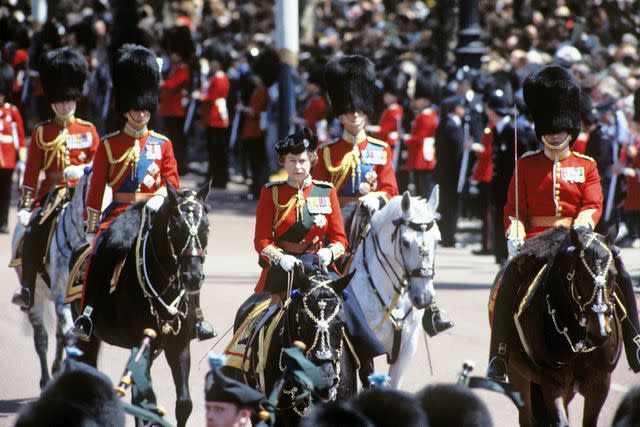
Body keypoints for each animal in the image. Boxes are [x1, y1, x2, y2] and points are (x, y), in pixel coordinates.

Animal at [74, 182, 210, 426]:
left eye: (206, 227)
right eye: (175, 229)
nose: (193, 277)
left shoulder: (179, 345)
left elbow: (184, 403)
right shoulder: (141, 344)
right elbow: (142, 404)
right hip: (87, 335)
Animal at [490, 227, 620, 427]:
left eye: (613, 275)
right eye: (581, 276)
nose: (599, 333)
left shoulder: (600, 383)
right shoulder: (551, 382)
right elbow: (560, 421)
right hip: (518, 375)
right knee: (526, 417)